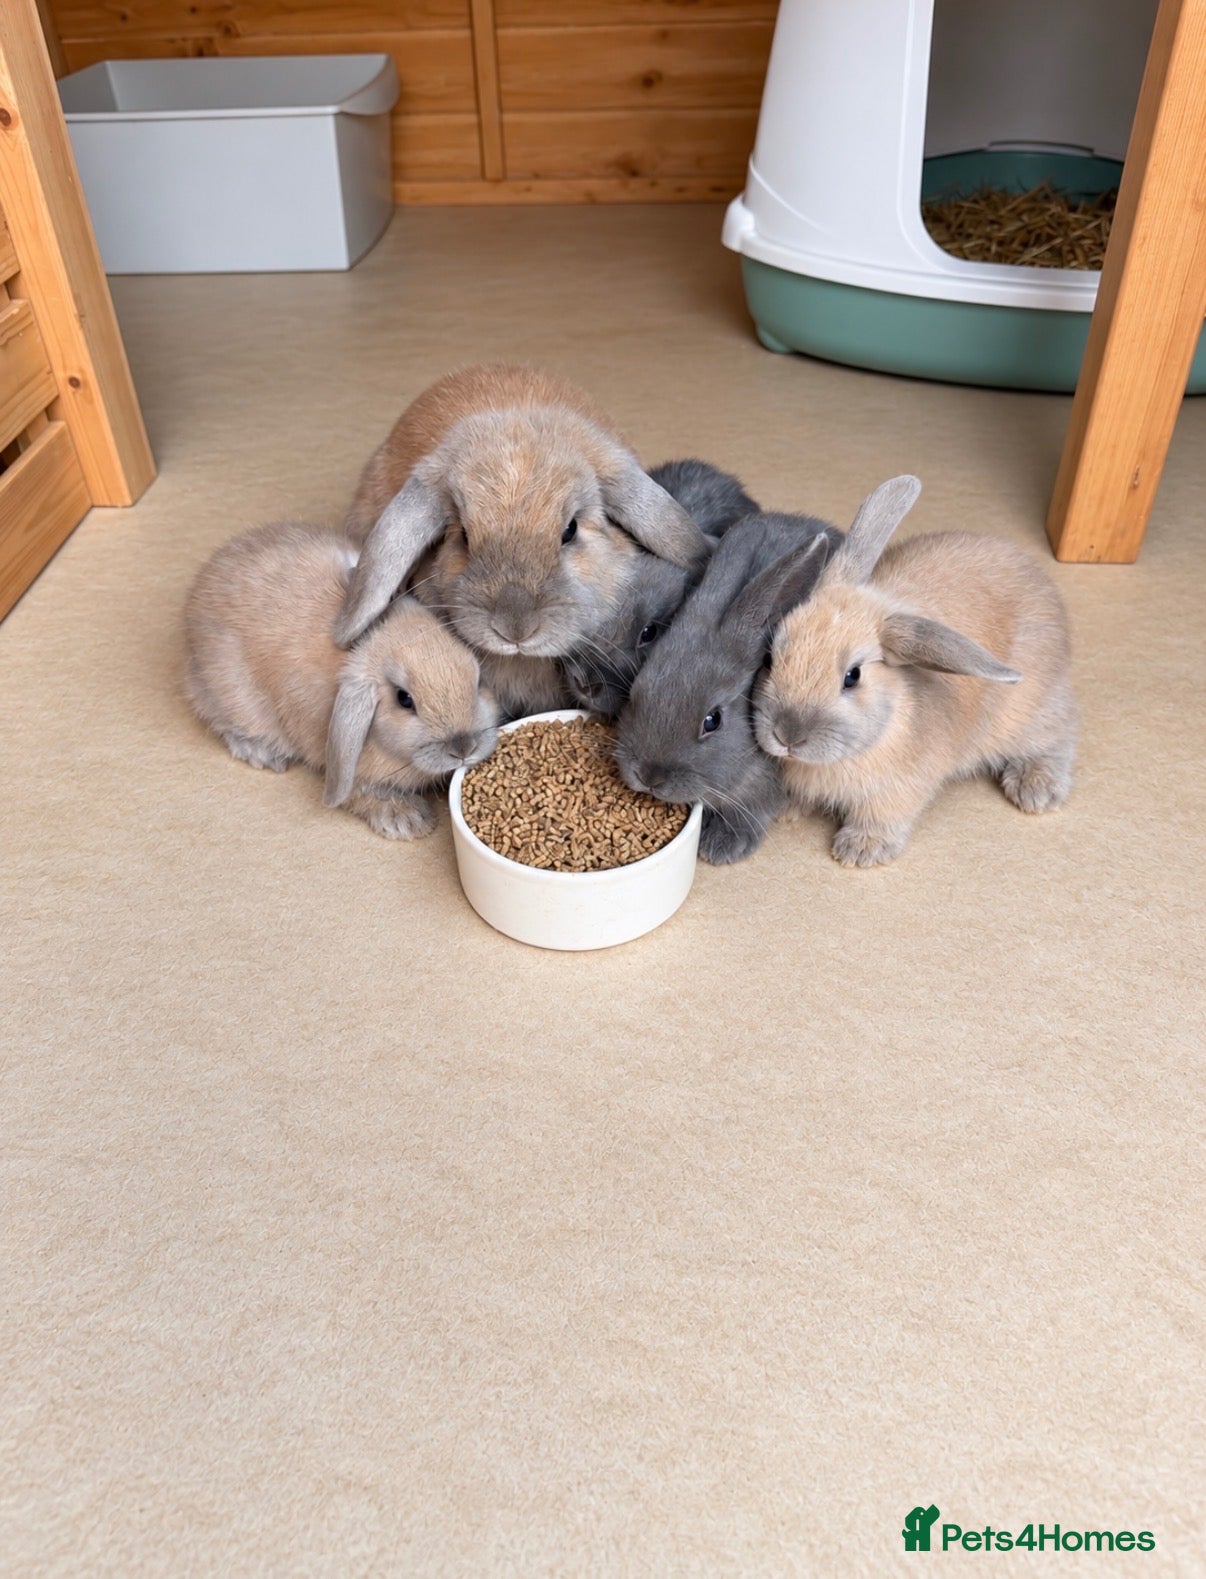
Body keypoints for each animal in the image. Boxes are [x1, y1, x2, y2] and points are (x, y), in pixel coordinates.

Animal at [184, 522, 500, 839]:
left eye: (477, 680)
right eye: (404, 699)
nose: (463, 748)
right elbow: (361, 793)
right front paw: (409, 822)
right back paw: (263, 753)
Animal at [750, 474, 1078, 868]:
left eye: (852, 676)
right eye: (770, 659)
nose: (787, 736)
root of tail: (1036, 572)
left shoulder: (898, 789)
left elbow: (883, 815)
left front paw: (861, 850)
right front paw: (785, 810)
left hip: (1031, 710)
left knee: (1058, 736)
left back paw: (1035, 789)